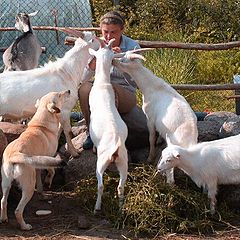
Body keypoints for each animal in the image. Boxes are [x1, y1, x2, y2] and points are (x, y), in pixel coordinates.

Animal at [0, 90, 69, 231]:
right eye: (59, 95)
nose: (69, 91)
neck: (41, 125)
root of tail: (14, 155)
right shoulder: (49, 157)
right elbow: (52, 171)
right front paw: (48, 181)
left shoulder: (37, 166)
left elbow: (40, 183)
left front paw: (43, 192)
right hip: (28, 187)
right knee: (18, 210)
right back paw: (25, 226)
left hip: (6, 183)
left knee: (3, 201)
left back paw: (3, 219)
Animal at [113, 53, 198, 184]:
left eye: (123, 60)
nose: (112, 60)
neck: (151, 86)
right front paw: (159, 140)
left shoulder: (150, 118)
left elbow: (151, 137)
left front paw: (150, 157)